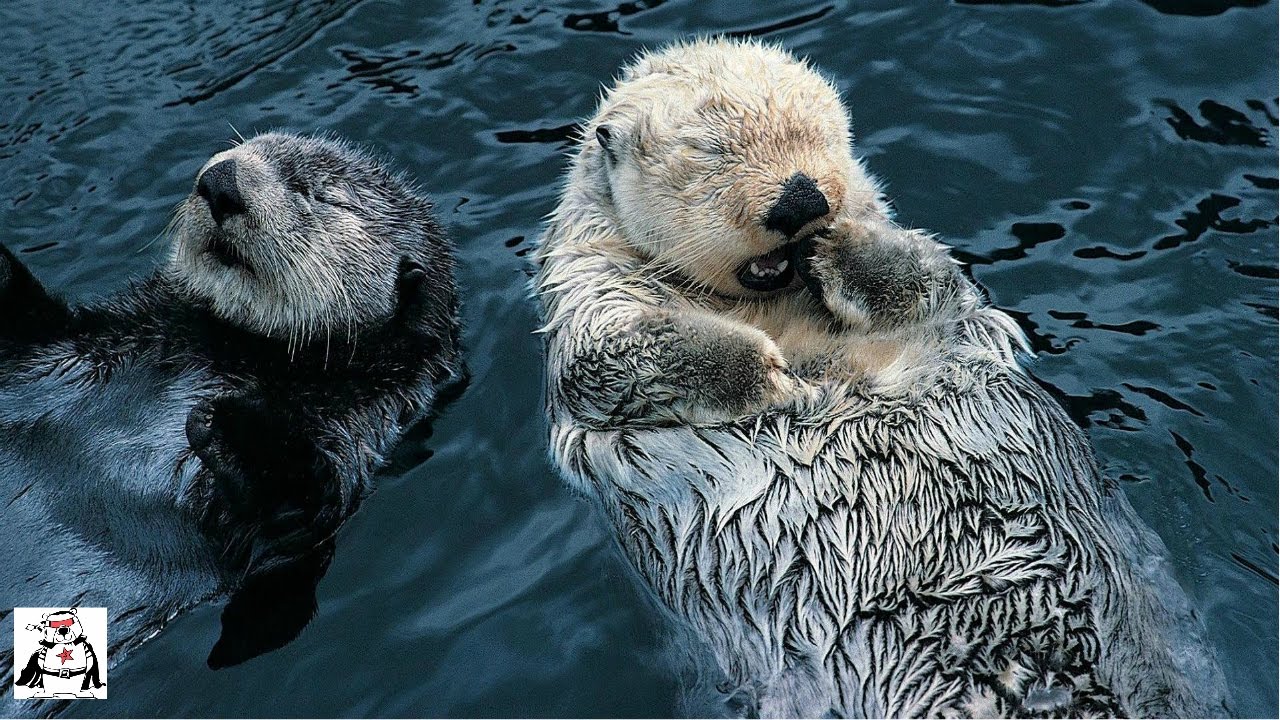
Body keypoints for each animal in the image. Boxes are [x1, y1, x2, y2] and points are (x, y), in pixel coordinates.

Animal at [0, 132, 460, 680]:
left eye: (318, 193)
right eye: (244, 146)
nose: (220, 181)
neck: (232, 347)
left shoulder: (354, 432)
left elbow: (293, 515)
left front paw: (231, 425)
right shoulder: (76, 343)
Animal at [535, 38, 1227, 717]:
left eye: (820, 134)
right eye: (712, 151)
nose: (802, 201)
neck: (773, 307)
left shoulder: (940, 297)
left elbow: (928, 276)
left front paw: (837, 249)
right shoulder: (590, 295)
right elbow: (610, 357)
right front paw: (773, 377)